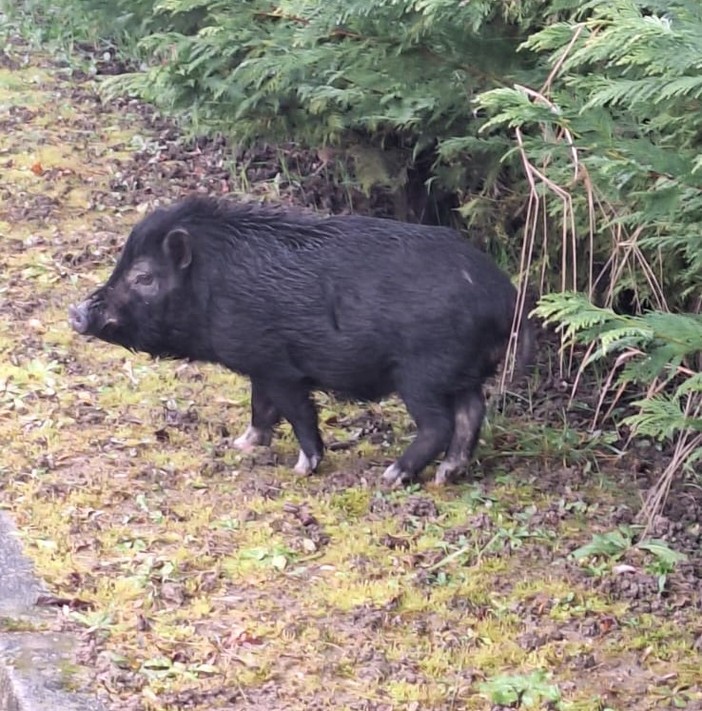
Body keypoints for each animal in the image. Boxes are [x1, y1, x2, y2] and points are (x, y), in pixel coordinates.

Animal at [70, 197, 532, 486]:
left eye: (144, 277)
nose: (76, 312)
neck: (213, 285)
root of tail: (505, 297)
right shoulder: (258, 367)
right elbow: (260, 408)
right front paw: (241, 445)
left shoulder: (279, 366)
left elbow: (297, 414)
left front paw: (301, 469)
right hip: (461, 372)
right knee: (472, 413)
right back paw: (445, 475)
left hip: (421, 372)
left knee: (440, 423)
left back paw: (390, 476)